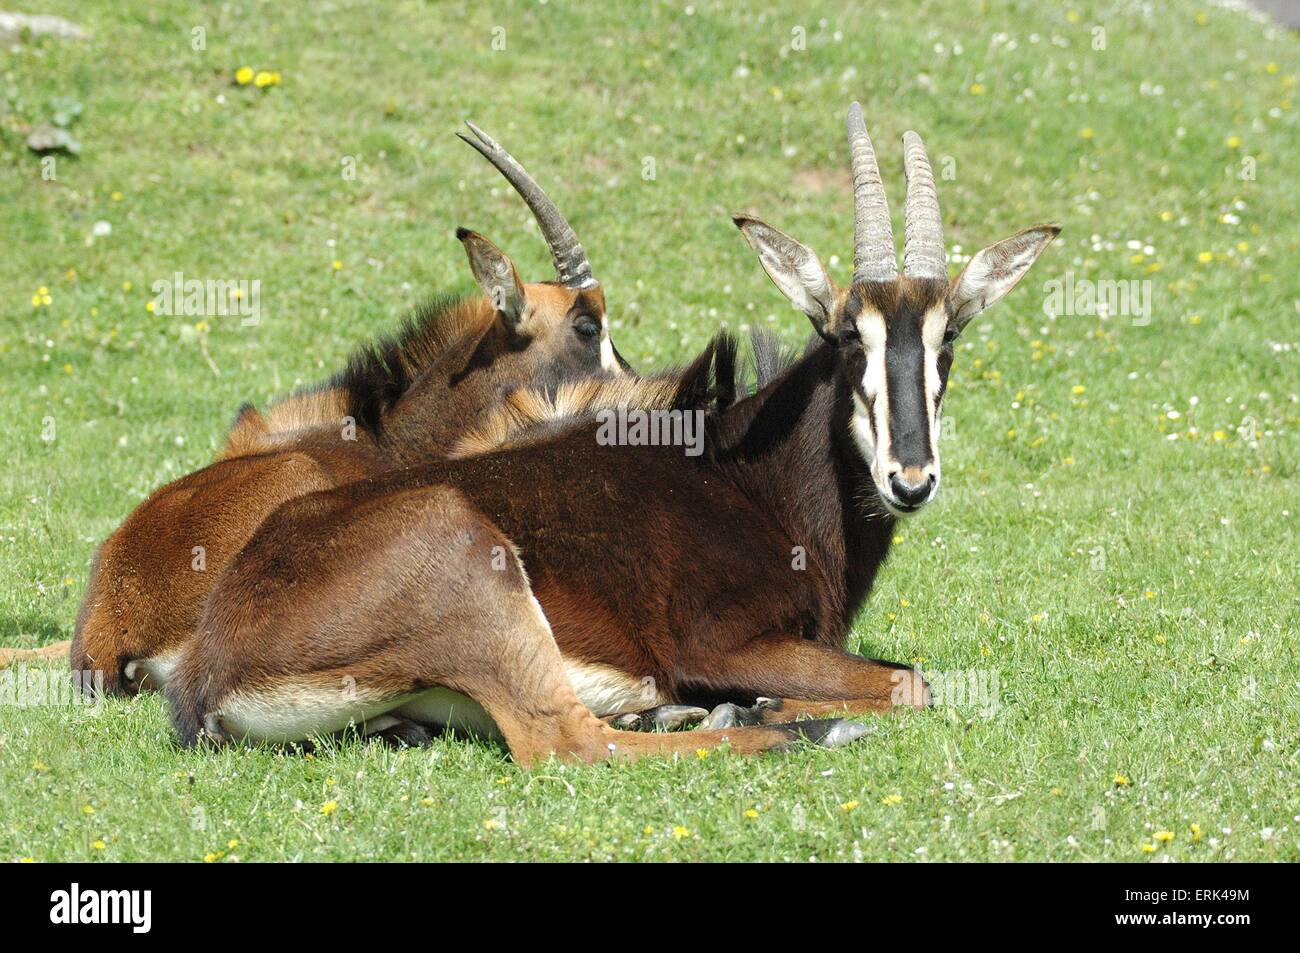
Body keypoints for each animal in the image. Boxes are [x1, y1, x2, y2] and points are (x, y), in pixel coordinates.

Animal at [165, 100, 1055, 764]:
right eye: (846, 337)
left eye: (948, 339)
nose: (910, 479)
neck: (750, 477)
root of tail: (208, 668)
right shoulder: (720, 644)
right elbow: (913, 682)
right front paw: (775, 705)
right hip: (477, 571)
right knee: (569, 743)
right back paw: (782, 724)